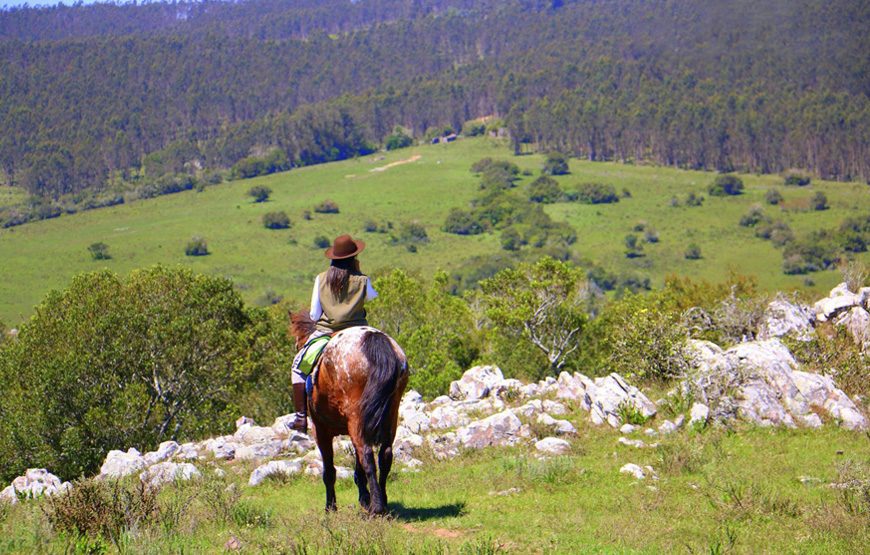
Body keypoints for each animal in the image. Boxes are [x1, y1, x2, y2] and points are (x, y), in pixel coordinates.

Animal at [288, 312, 408, 516]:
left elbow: (329, 471)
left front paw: (330, 507)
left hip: (356, 419)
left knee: (367, 454)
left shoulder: (321, 431)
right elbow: (358, 468)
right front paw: (364, 498)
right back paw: (382, 502)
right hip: (388, 416)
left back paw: (377, 508)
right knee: (384, 455)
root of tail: (373, 339)